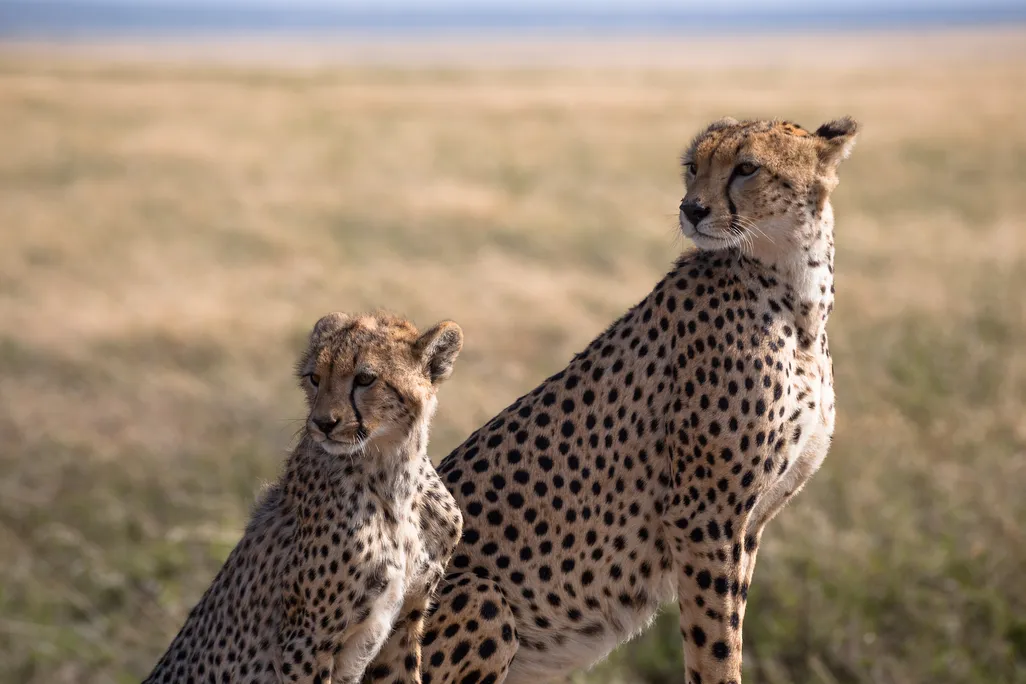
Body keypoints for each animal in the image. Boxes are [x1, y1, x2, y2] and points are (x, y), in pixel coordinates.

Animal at [144, 311, 465, 684]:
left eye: (365, 379)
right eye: (315, 377)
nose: (323, 423)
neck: (394, 476)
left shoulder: (405, 621)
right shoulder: (307, 640)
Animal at [395, 116, 858, 684]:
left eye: (747, 167)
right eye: (693, 166)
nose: (692, 209)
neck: (797, 292)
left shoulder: (745, 526)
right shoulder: (703, 517)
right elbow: (715, 647)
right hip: (483, 599)